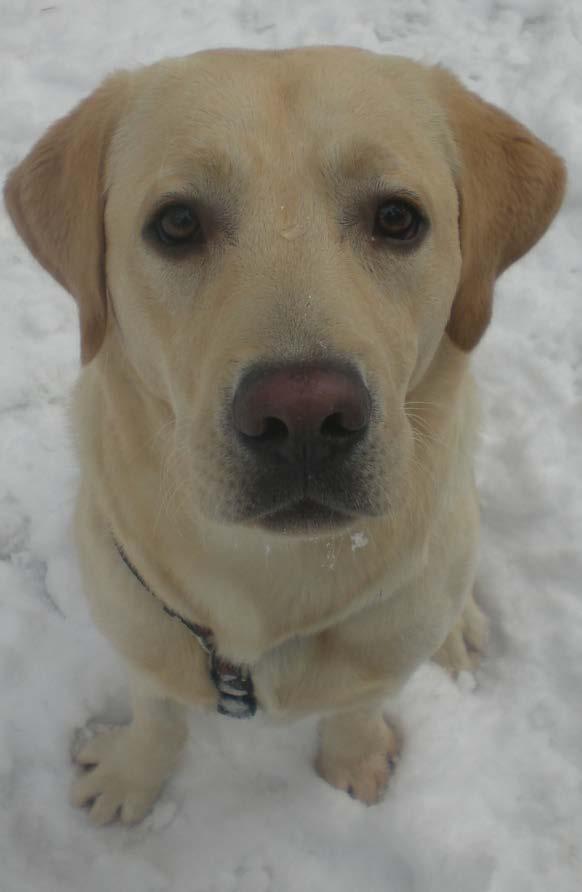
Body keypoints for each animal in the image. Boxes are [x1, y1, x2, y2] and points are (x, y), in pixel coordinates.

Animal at [4, 47, 568, 824]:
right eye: (177, 222)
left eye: (397, 217)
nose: (303, 416)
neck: (269, 578)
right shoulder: (139, 624)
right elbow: (156, 708)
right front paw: (131, 776)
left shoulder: (384, 655)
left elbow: (358, 709)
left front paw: (352, 765)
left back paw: (458, 633)